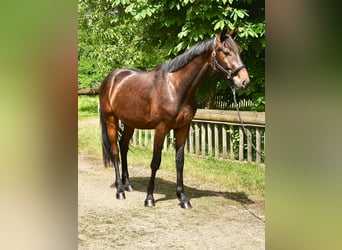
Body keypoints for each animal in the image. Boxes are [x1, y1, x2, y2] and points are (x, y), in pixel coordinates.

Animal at [97, 25, 250, 209]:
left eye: (239, 51)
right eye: (226, 52)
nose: (244, 81)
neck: (176, 88)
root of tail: (111, 79)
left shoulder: (183, 127)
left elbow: (180, 161)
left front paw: (183, 198)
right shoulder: (161, 128)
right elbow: (155, 162)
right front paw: (149, 198)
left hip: (130, 123)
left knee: (123, 146)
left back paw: (128, 184)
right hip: (111, 119)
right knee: (114, 151)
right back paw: (120, 190)